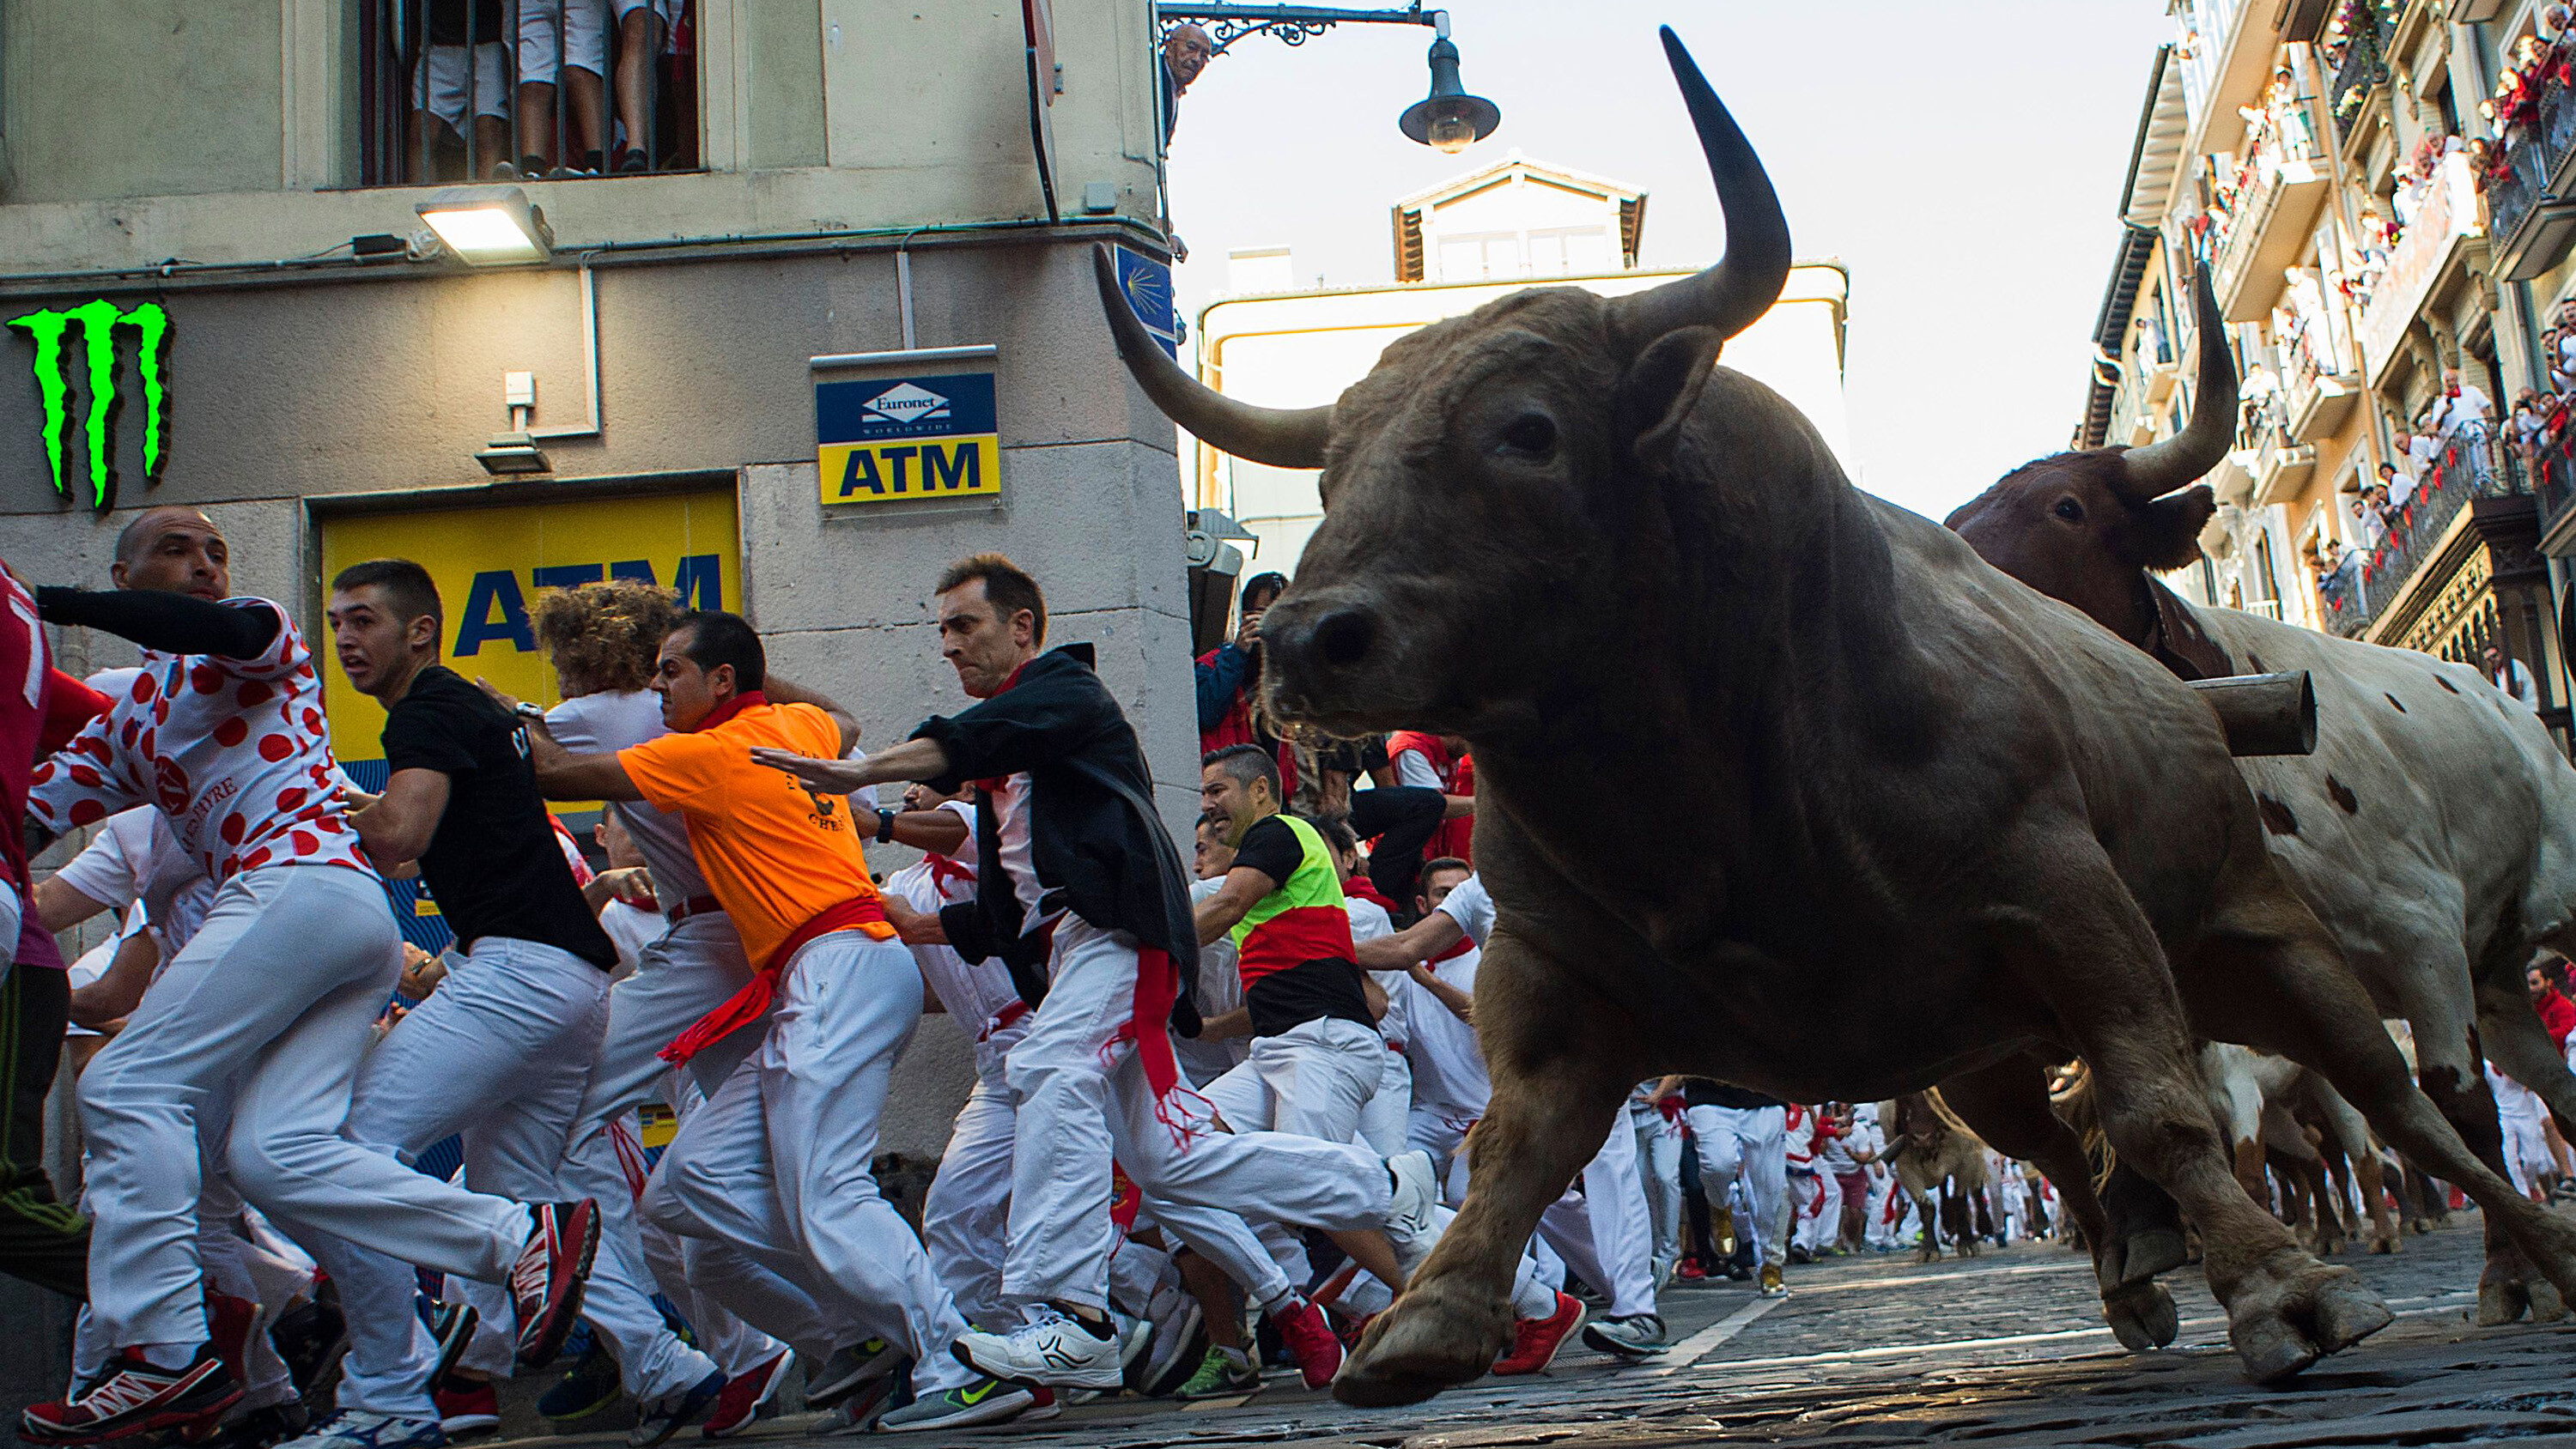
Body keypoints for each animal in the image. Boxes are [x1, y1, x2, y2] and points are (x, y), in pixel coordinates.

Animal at [1087, 25, 2576, 1410]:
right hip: (1987, 1047)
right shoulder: (1551, 972)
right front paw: (1429, 1318)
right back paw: (2137, 1271)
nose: (1304, 641)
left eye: (1528, 431)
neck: (1710, 802)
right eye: (1330, 467)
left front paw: (2285, 1289)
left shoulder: (2077, 908)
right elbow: (1513, 1145)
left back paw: (2522, 1260)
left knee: (2413, 1110)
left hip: (2275, 941)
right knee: (2058, 1143)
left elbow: (2161, 1107)